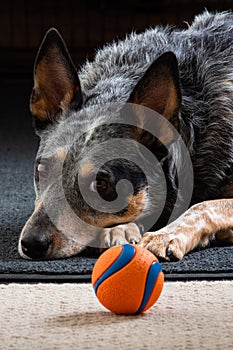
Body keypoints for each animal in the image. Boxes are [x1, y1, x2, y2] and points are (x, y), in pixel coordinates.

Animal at [17, 10, 233, 260]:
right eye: (42, 170)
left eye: (101, 185)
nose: (32, 243)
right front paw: (121, 229)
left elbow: (202, 206)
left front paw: (165, 234)